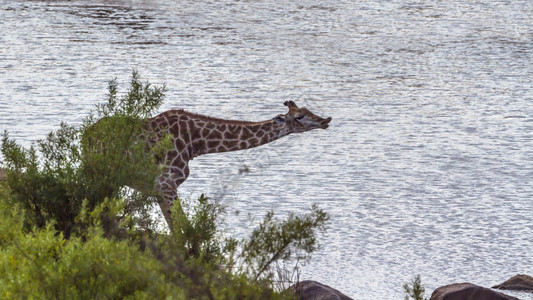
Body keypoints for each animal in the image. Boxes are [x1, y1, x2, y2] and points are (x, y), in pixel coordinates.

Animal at [143, 101, 330, 227]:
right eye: (299, 116)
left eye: (307, 109)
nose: (326, 120)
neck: (195, 143)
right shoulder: (167, 185)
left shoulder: (160, 190)